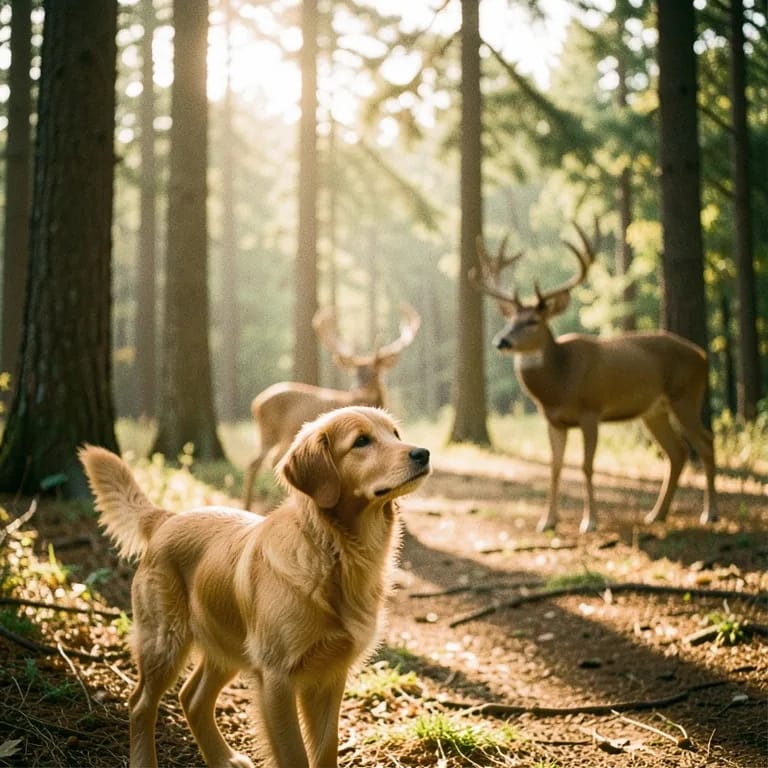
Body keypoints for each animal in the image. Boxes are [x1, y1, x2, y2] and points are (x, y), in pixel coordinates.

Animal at [241, 303, 421, 510]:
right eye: (354, 373)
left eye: (375, 373)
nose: (357, 389)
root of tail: (255, 403)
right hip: (271, 433)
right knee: (263, 462)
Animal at [473, 224, 717, 534]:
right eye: (510, 321)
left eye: (532, 321)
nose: (501, 341)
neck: (560, 382)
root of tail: (703, 355)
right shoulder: (554, 421)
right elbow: (555, 466)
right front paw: (547, 521)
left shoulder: (591, 410)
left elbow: (586, 466)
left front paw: (590, 522)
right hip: (654, 411)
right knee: (678, 452)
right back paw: (656, 515)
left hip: (685, 395)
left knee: (706, 441)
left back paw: (709, 514)